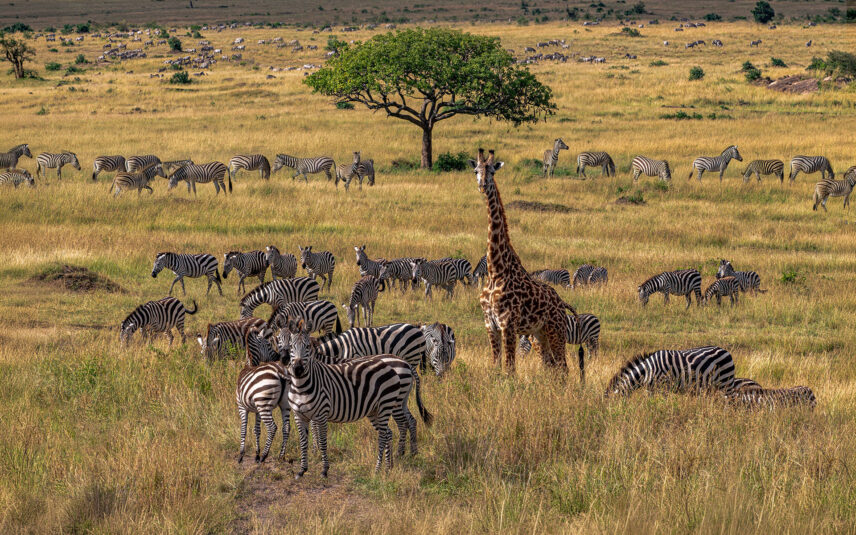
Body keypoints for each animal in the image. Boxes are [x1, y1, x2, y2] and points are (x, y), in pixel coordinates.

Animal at [282, 319, 431, 478]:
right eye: (290, 346)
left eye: (307, 347)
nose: (296, 369)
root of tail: (406, 364)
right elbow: (307, 435)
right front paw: (307, 461)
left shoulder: (321, 410)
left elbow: (318, 433)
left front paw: (318, 456)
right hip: (396, 402)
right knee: (409, 421)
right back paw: (405, 456)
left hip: (394, 399)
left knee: (400, 425)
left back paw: (397, 456)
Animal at [470, 148, 584, 384]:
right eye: (476, 170)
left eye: (492, 171)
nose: (482, 185)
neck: (496, 271)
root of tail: (562, 303)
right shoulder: (490, 324)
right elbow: (495, 365)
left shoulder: (507, 324)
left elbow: (509, 368)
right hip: (539, 335)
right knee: (550, 365)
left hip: (555, 330)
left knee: (563, 367)